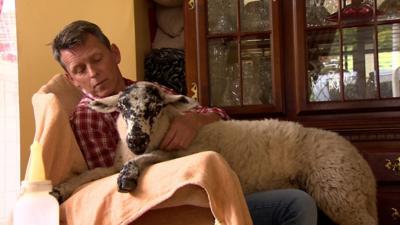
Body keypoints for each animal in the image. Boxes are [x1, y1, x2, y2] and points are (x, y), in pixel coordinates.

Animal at [54, 82, 378, 225]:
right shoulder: (114, 162)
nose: (135, 139)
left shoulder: (172, 155)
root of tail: (365, 171)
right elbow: (92, 173)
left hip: (338, 191)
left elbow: (143, 161)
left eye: (156, 107)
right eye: (122, 107)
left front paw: (128, 178)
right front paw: (61, 189)